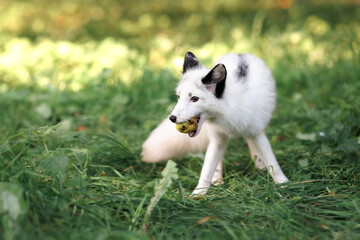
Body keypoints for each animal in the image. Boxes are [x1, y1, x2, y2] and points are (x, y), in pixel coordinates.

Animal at [141, 51, 290, 194]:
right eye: (178, 96)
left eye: (194, 98)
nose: (172, 118)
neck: (227, 110)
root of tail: (240, 54)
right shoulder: (217, 138)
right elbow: (207, 169)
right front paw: (198, 194)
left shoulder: (256, 132)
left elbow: (272, 161)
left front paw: (283, 184)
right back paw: (217, 181)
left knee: (251, 142)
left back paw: (259, 165)